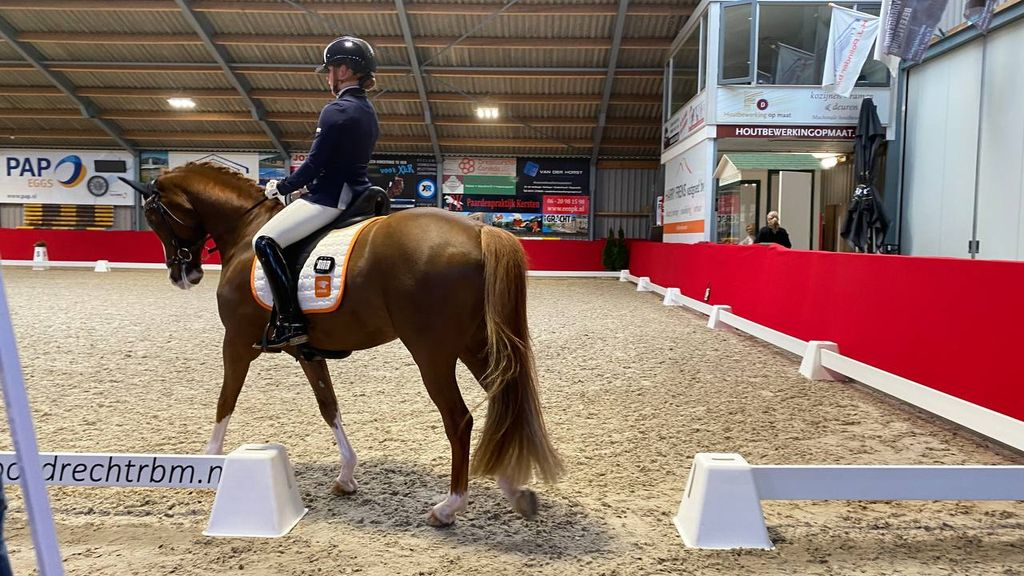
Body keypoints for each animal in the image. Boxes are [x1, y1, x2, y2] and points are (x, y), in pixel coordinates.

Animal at [122, 162, 563, 526]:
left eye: (153, 214)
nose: (183, 274)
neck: (247, 235)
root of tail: (478, 229)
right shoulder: (306, 350)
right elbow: (328, 405)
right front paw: (346, 475)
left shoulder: (237, 342)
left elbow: (225, 401)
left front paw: (208, 463)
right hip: (474, 345)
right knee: (506, 402)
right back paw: (515, 491)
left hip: (432, 353)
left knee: (459, 420)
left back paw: (449, 507)